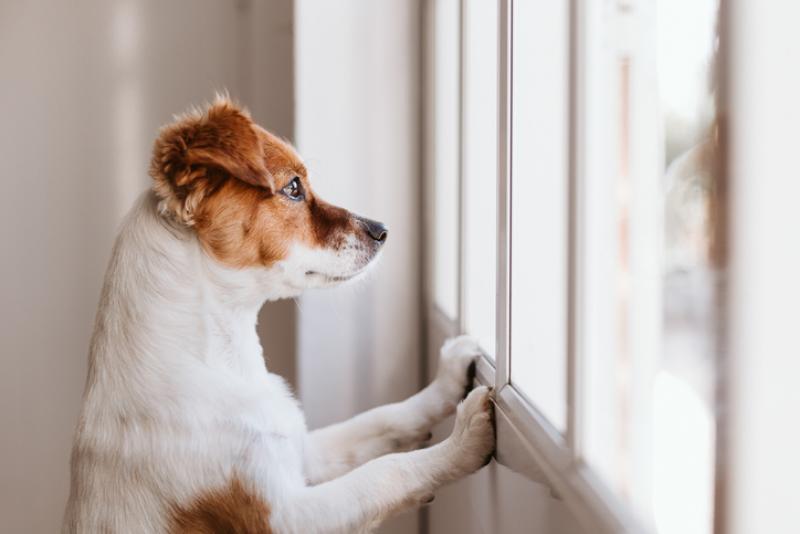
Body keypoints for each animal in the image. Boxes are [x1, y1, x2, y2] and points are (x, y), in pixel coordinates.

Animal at [64, 97, 494, 534]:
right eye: (293, 188)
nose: (382, 230)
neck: (222, 360)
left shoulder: (301, 452)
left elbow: (383, 419)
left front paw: (447, 379)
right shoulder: (284, 516)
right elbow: (385, 472)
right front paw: (463, 441)